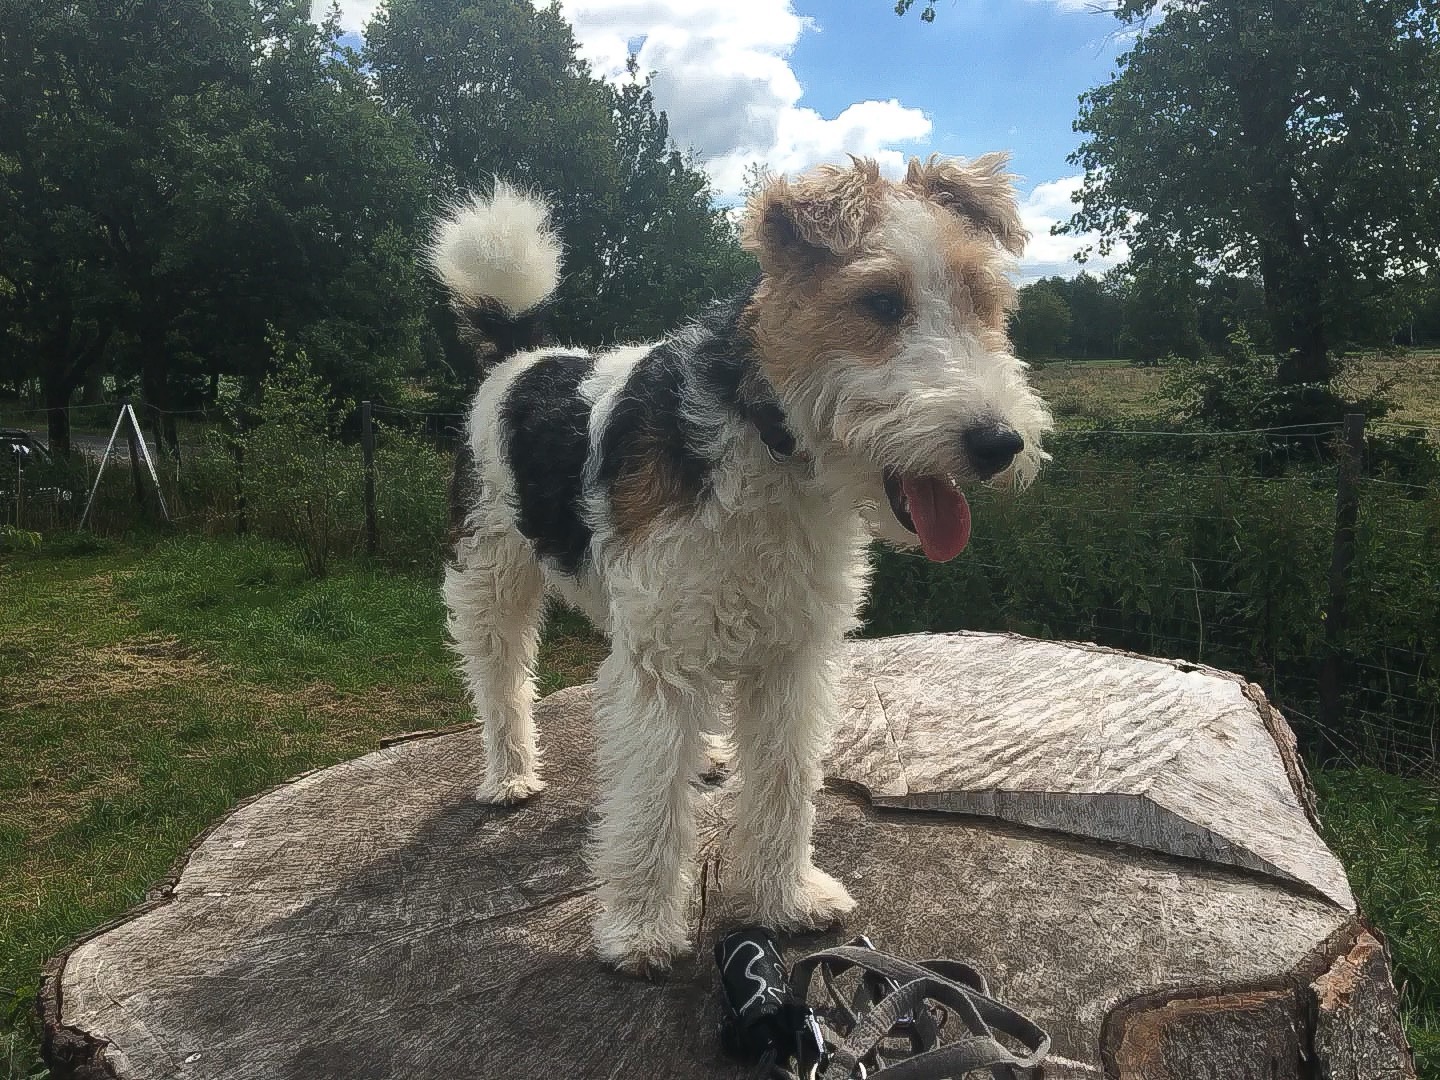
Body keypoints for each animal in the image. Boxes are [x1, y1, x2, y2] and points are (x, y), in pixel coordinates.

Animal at [432, 156, 1054, 979]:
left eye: (985, 300)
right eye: (881, 301)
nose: (998, 444)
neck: (771, 443)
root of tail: (519, 359)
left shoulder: (792, 656)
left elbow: (785, 785)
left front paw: (786, 898)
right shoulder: (659, 659)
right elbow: (650, 803)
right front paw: (639, 931)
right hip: (492, 578)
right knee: (501, 680)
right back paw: (508, 776)